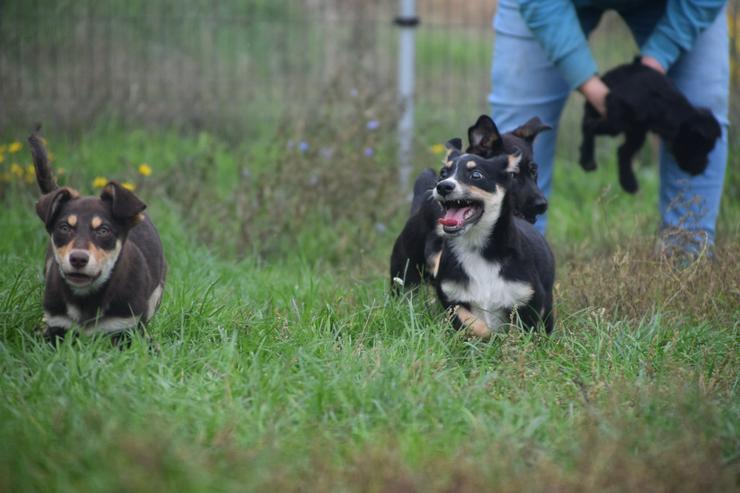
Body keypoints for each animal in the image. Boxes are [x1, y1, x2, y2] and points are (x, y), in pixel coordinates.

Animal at [29, 129, 167, 340]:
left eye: (103, 230)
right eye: (64, 227)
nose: (78, 259)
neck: (87, 299)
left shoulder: (125, 327)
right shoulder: (57, 325)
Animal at [430, 143, 552, 334]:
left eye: (476, 175)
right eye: (443, 173)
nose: (443, 186)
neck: (476, 248)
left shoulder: (529, 299)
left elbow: (519, 331)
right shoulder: (451, 299)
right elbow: (473, 323)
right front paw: (487, 334)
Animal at [580, 58, 720, 193]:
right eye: (701, 149)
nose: (703, 168)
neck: (664, 105)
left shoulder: (638, 129)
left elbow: (624, 151)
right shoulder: (616, 104)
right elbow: (592, 126)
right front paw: (587, 156)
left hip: (635, 132)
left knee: (622, 151)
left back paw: (628, 183)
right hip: (605, 114)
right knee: (588, 124)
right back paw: (587, 159)